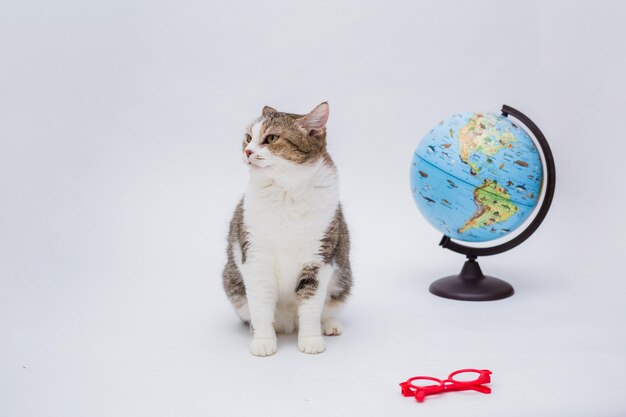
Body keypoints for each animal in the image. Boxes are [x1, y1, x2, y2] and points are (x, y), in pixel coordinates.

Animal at [222, 102, 352, 356]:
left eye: (271, 138)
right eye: (248, 137)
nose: (247, 151)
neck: (286, 192)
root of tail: (289, 323)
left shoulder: (318, 259)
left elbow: (311, 307)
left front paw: (311, 339)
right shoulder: (256, 257)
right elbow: (261, 305)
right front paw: (263, 340)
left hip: (343, 281)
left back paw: (329, 325)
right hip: (232, 284)